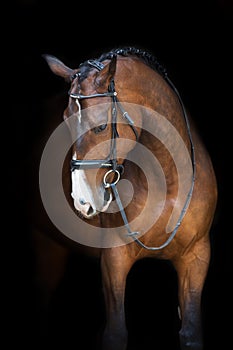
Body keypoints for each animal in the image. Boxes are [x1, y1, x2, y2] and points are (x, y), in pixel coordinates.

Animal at [31, 47, 218, 350]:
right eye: (64, 122)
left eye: (101, 127)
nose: (82, 200)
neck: (167, 181)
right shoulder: (114, 259)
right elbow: (115, 333)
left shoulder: (197, 256)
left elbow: (190, 333)